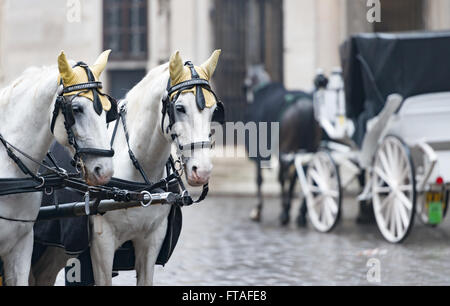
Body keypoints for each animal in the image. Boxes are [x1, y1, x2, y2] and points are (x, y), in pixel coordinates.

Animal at [244, 65, 322, 226]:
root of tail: (305, 106)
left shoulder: (260, 153)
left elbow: (260, 179)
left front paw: (258, 209)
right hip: (308, 151)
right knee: (304, 173)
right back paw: (300, 212)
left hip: (286, 150)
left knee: (286, 176)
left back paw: (286, 211)